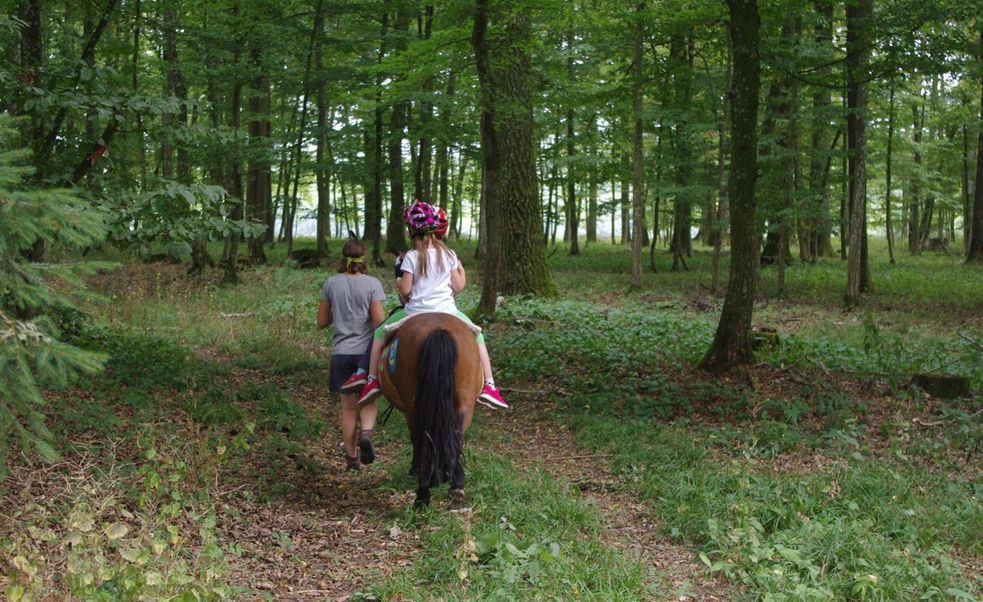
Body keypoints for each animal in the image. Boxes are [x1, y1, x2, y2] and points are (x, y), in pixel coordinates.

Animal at [378, 312, 482, 504]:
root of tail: (438, 329)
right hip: (464, 402)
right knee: (455, 435)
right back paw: (456, 486)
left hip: (414, 407)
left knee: (423, 438)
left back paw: (423, 492)